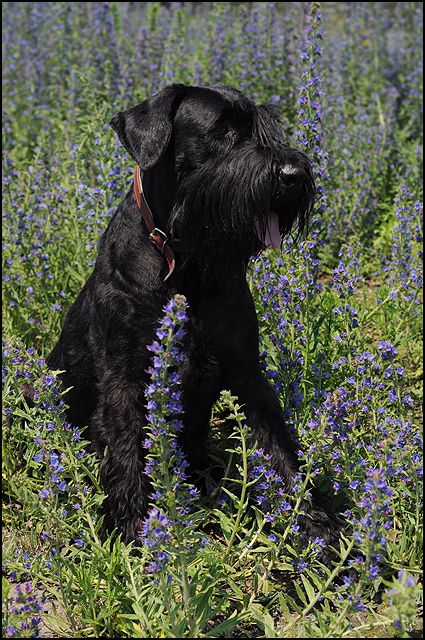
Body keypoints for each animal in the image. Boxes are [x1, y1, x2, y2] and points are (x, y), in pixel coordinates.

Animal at [47, 84, 335, 546]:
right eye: (223, 132)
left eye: (266, 128)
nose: (293, 174)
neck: (187, 265)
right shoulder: (126, 378)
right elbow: (127, 452)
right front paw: (133, 537)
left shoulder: (245, 370)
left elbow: (278, 447)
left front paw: (316, 529)